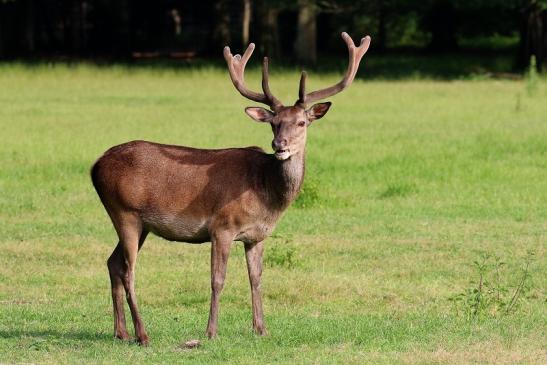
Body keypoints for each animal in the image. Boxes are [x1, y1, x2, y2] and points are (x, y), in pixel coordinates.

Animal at [91, 32, 372, 344]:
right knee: (129, 271)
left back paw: (121, 332)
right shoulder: (221, 227)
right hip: (124, 211)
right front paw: (211, 331)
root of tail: (95, 166)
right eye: (274, 123)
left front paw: (261, 328)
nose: (279, 145)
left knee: (113, 263)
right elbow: (218, 279)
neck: (266, 193)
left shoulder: (257, 236)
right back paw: (142, 334)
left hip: (140, 224)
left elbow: (257, 278)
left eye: (301, 122)